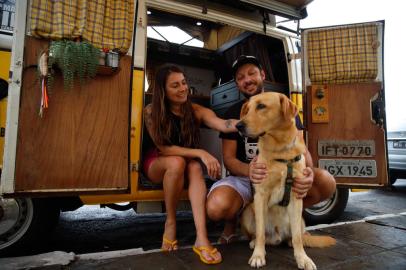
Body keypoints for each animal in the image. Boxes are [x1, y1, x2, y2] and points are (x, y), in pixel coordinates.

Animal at [236, 92, 334, 268]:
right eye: (247, 109)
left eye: (261, 106)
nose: (238, 125)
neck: (280, 151)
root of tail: (278, 234)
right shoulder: (261, 195)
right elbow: (260, 233)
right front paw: (258, 256)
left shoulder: (296, 196)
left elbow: (297, 238)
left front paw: (303, 258)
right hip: (247, 213)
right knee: (261, 236)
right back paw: (255, 243)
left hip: (300, 219)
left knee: (295, 237)